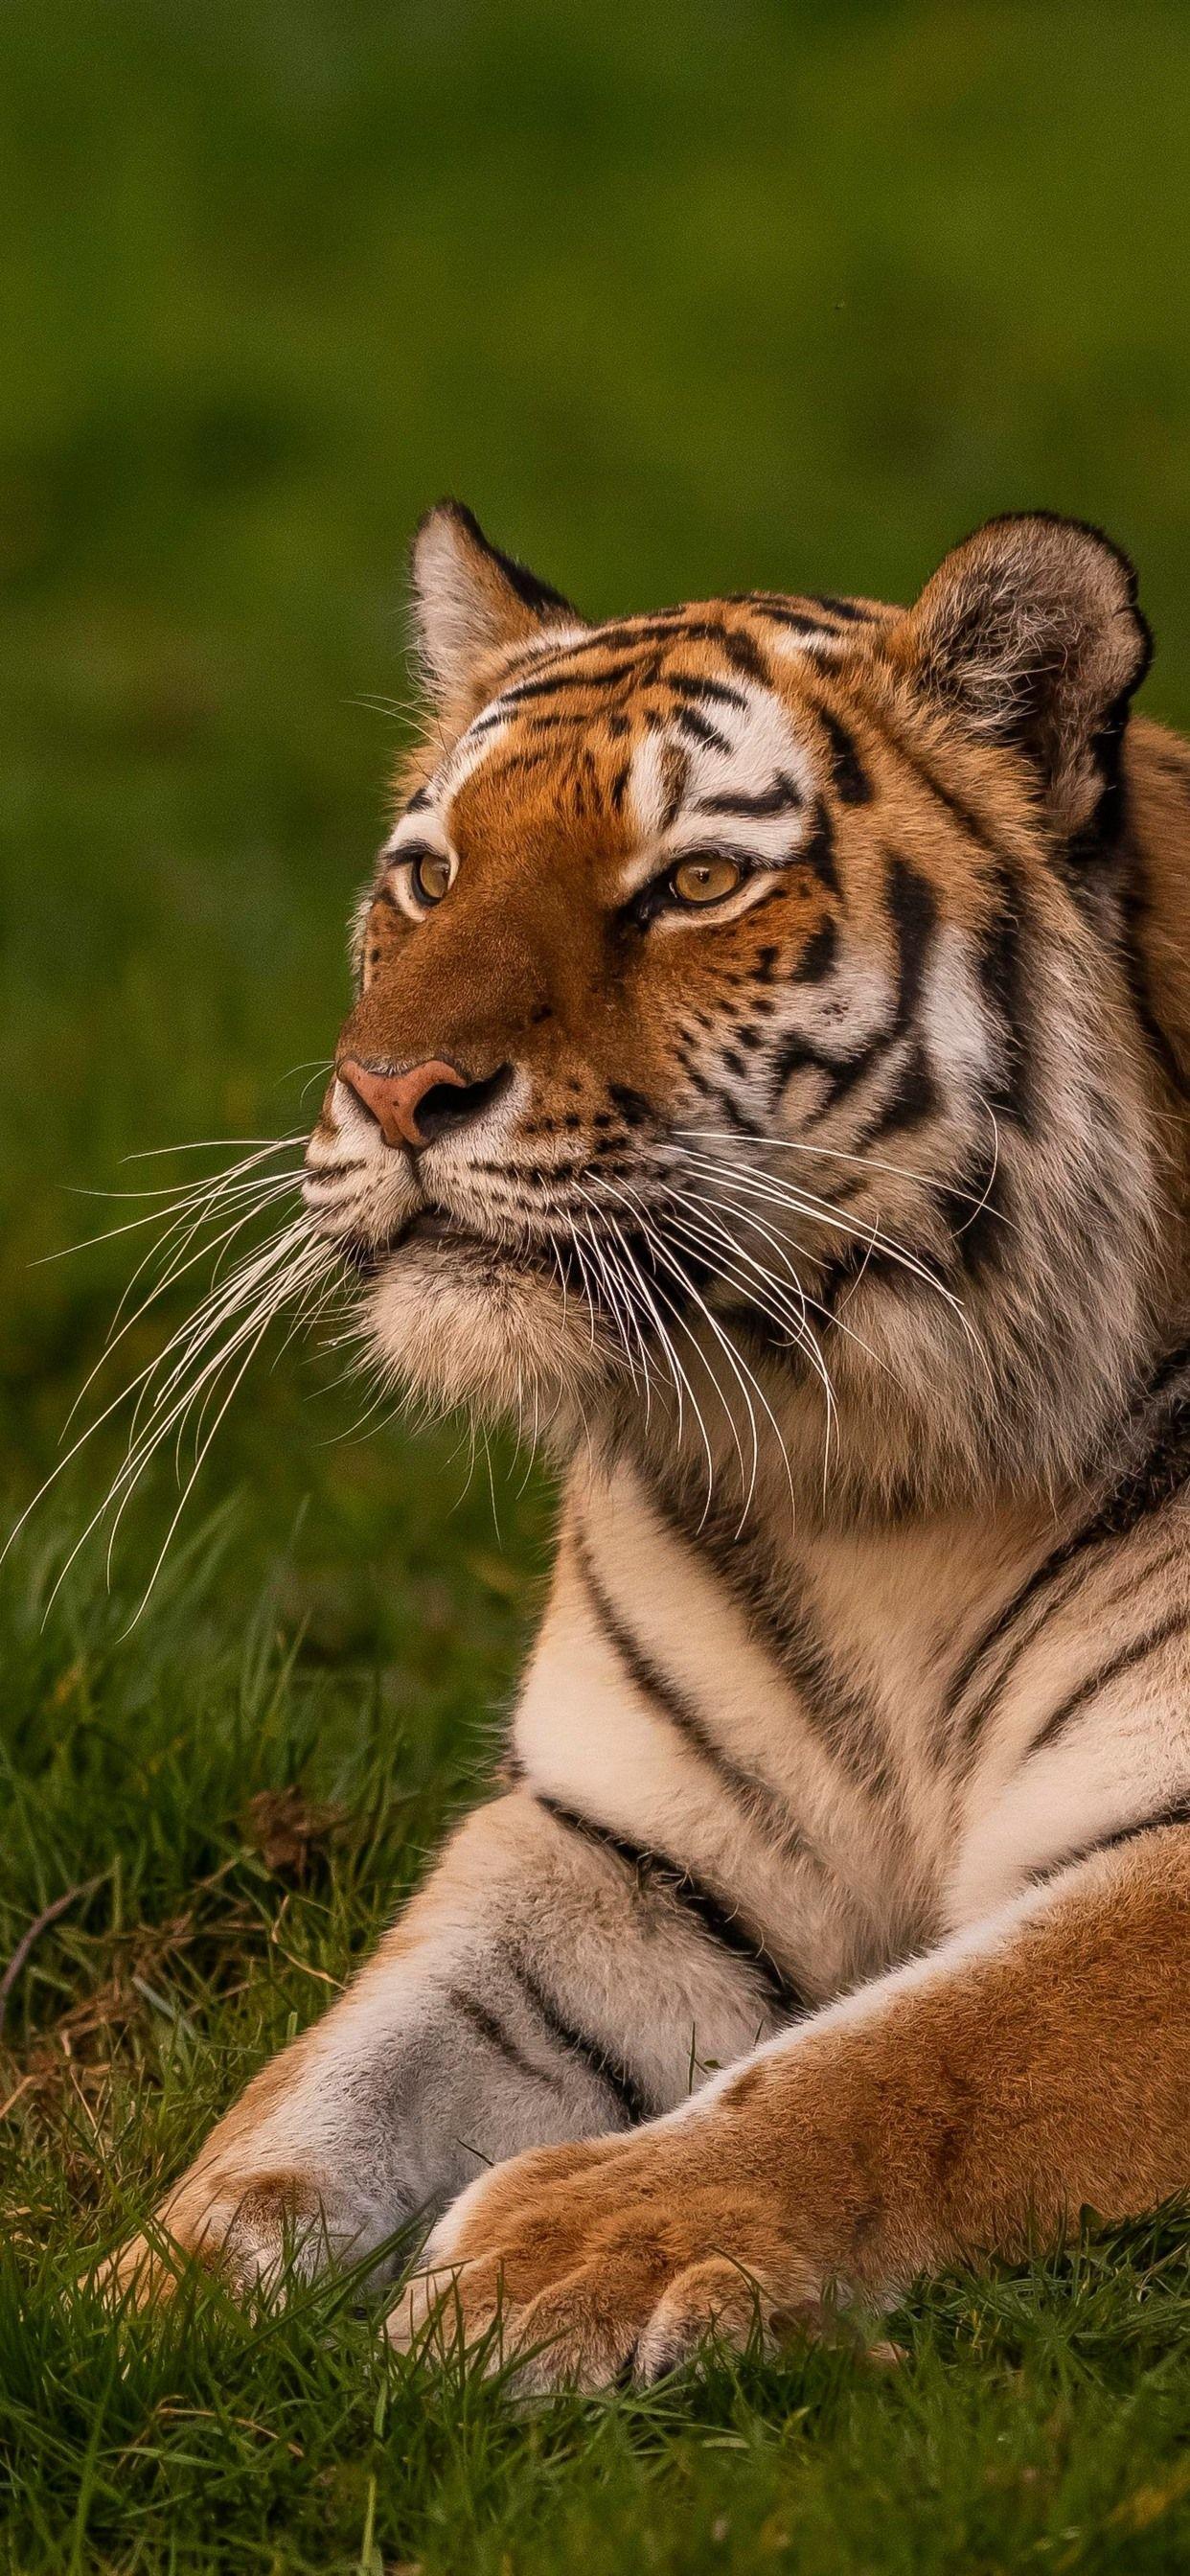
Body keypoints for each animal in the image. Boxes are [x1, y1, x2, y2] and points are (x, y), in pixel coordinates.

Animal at [101, 501, 1190, 2391]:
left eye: (692, 884)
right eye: (430, 876)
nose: (394, 1089)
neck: (877, 1487)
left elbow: (936, 2052)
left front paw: (582, 2246)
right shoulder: (620, 1842)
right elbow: (347, 2061)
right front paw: (146, 2299)